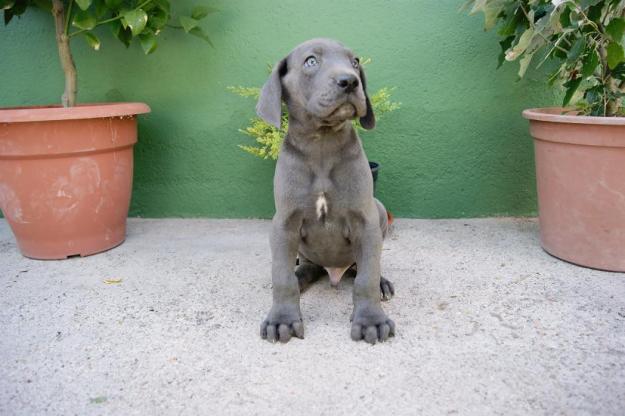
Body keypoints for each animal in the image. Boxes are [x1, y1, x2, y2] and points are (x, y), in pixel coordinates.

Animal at [255, 39, 392, 344]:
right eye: (311, 61)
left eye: (354, 62)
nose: (350, 81)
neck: (322, 143)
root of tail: (334, 273)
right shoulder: (283, 223)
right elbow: (281, 277)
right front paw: (282, 319)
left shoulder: (365, 220)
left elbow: (366, 276)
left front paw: (371, 320)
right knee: (303, 269)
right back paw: (301, 276)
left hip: (378, 208)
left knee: (364, 267)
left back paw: (382, 283)